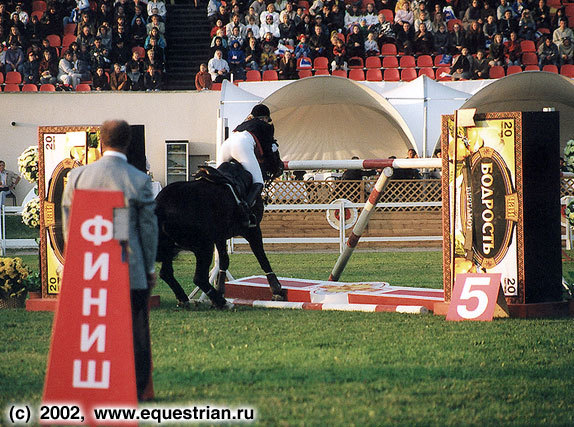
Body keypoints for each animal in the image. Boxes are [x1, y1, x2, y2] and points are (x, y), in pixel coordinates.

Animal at [155, 152, 286, 310]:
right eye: (275, 151)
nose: (281, 166)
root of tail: (161, 206)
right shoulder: (252, 230)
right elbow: (262, 257)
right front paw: (277, 290)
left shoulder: (220, 237)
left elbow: (224, 261)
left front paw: (221, 289)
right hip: (203, 246)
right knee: (199, 278)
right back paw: (222, 302)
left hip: (171, 247)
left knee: (166, 273)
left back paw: (185, 298)